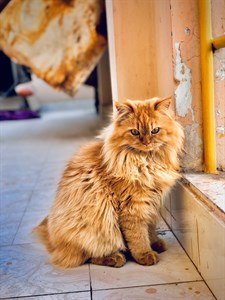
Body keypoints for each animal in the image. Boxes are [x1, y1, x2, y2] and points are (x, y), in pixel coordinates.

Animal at [34, 97, 184, 268]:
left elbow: (150, 229)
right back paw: (116, 258)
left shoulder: (152, 204)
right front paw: (145, 254)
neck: (147, 162)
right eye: (135, 132)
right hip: (95, 229)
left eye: (155, 130)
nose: (146, 142)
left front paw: (155, 243)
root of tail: (54, 242)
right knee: (88, 256)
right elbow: (138, 236)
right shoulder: (132, 206)